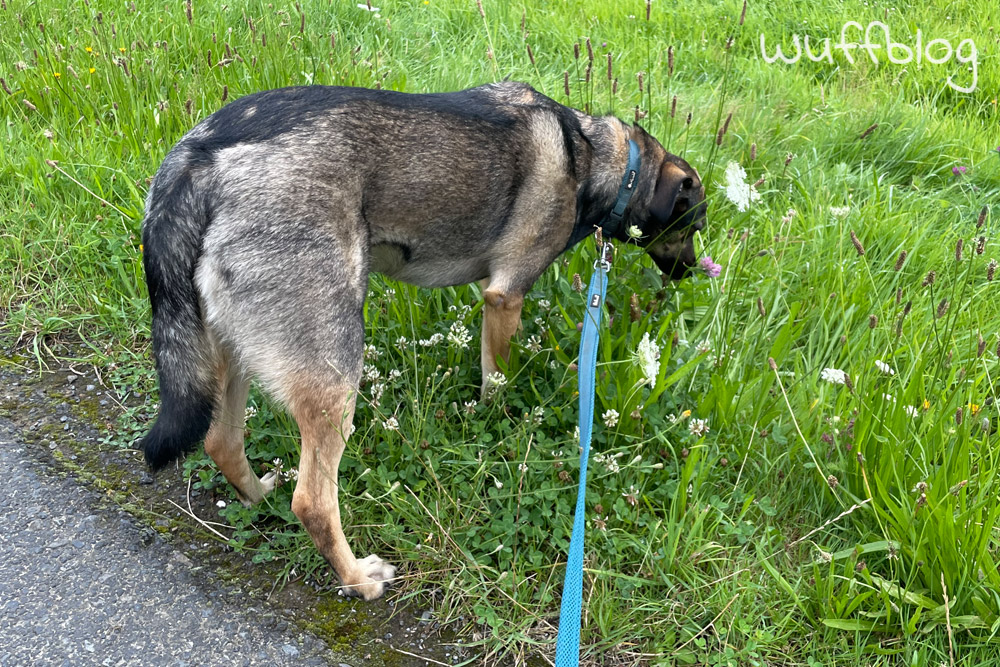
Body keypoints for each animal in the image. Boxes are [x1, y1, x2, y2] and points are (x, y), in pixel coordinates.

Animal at [141, 82, 708, 600]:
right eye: (695, 224)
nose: (692, 274)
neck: (598, 158)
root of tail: (198, 161)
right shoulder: (505, 296)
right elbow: (498, 379)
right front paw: (495, 421)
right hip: (336, 372)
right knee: (313, 501)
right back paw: (357, 578)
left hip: (231, 351)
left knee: (221, 442)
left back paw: (259, 495)